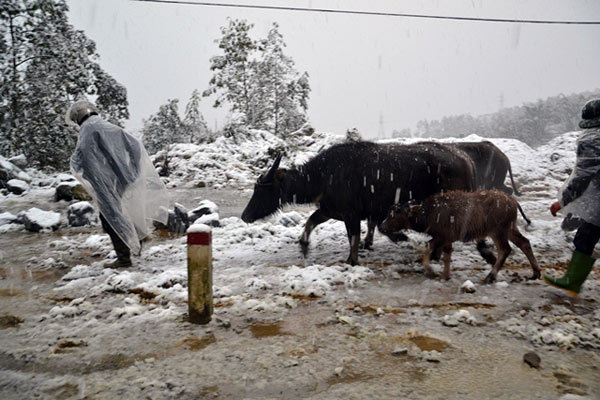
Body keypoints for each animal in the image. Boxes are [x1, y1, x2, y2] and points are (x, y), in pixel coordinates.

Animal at [241, 141, 476, 266]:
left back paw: (433, 255)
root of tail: (465, 158)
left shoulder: (351, 215)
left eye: (262, 189)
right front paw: (304, 246)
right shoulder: (330, 211)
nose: (245, 216)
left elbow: (353, 236)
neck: (323, 176)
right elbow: (311, 222)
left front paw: (352, 260)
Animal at [380, 190, 544, 282]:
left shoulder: (442, 237)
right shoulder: (446, 239)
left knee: (505, 250)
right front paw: (445, 275)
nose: (382, 227)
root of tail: (513, 202)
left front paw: (431, 271)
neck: (429, 214)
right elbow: (446, 255)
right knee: (524, 242)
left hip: (498, 231)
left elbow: (428, 249)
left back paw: (490, 276)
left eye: (396, 213)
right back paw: (535, 273)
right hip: (510, 228)